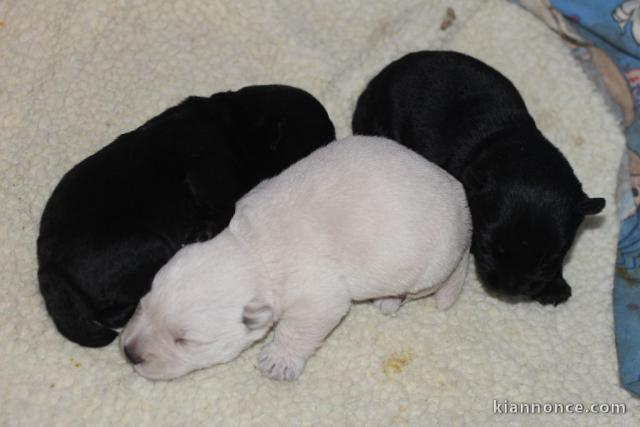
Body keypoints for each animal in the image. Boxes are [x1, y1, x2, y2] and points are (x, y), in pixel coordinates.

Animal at [36, 83, 336, 348]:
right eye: (320, 142)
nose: (336, 143)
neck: (239, 126)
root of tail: (49, 269)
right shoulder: (208, 174)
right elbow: (225, 206)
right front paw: (204, 230)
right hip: (151, 245)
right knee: (113, 313)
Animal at [120, 136, 472, 382]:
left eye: (185, 341)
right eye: (144, 302)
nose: (129, 353)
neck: (250, 247)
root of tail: (464, 209)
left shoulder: (315, 290)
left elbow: (305, 322)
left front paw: (278, 359)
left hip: (432, 266)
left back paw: (389, 299)